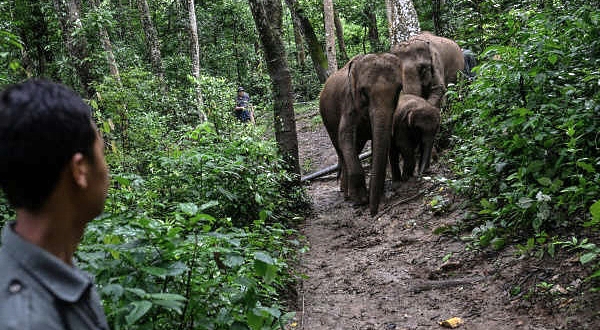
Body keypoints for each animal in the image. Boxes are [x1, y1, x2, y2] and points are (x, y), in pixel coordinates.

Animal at [318, 52, 404, 215]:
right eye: (364, 92)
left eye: (398, 91)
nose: (373, 213)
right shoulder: (348, 103)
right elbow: (345, 138)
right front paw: (361, 200)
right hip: (326, 118)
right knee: (340, 149)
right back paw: (346, 194)